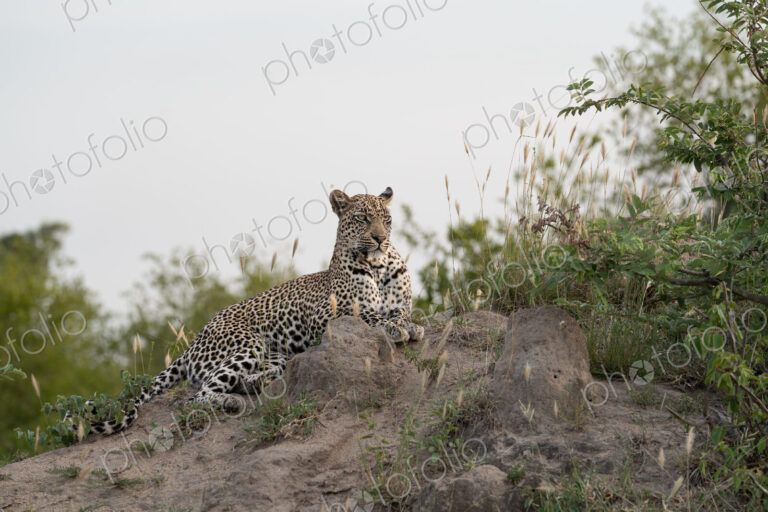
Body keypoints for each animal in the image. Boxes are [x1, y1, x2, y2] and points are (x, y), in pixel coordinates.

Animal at [74, 186, 424, 435]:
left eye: (386, 220)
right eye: (362, 218)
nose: (379, 238)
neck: (378, 265)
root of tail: (194, 341)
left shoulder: (400, 302)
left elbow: (401, 313)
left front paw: (410, 326)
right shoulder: (326, 315)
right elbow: (369, 315)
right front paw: (396, 328)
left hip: (276, 354)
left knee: (254, 375)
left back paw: (254, 384)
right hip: (247, 343)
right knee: (199, 395)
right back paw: (231, 400)